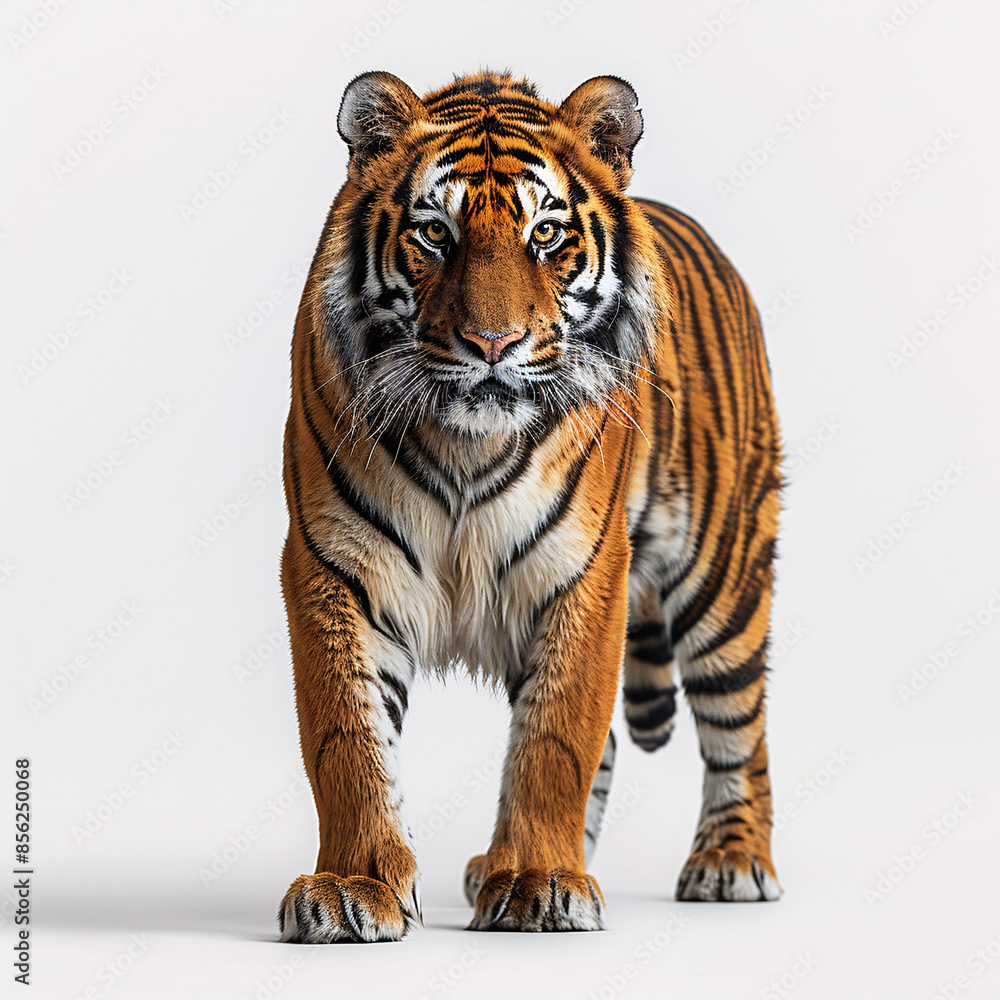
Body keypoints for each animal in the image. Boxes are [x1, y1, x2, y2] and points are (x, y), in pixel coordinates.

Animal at [277, 69, 782, 943]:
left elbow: (557, 736)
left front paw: (543, 881)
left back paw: (731, 861)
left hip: (724, 574)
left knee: (738, 725)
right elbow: (347, 739)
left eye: (545, 234)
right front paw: (354, 886)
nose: (493, 344)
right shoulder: (332, 565)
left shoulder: (584, 570)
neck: (464, 445)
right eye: (435, 234)